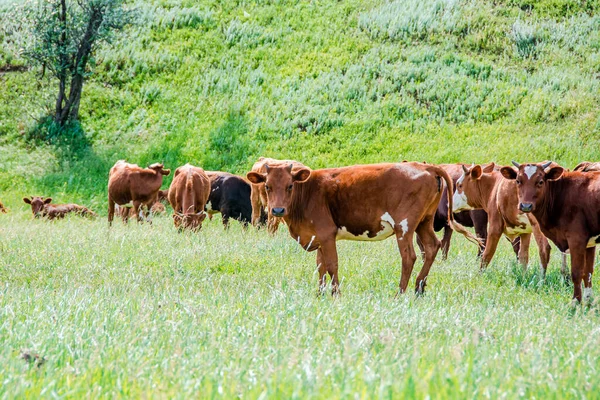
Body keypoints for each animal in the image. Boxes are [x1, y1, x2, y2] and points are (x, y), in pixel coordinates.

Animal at [246, 161, 480, 296]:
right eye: (267, 186)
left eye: (290, 186)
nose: (277, 210)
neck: (309, 192)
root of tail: (425, 166)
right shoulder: (318, 237)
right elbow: (320, 266)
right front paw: (320, 294)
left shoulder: (326, 234)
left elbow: (331, 265)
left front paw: (336, 294)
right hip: (424, 222)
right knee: (432, 247)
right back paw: (418, 288)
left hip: (404, 227)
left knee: (409, 257)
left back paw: (400, 292)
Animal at [500, 160, 600, 304]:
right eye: (518, 181)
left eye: (540, 181)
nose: (526, 206)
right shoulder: (590, 244)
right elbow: (588, 273)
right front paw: (588, 302)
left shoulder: (576, 239)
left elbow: (576, 273)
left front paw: (575, 302)